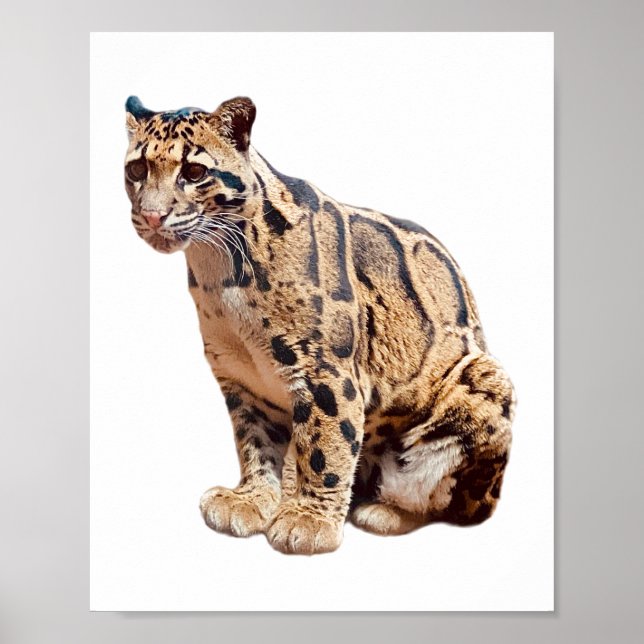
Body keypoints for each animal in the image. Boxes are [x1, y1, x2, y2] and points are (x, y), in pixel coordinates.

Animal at [123, 95, 515, 555]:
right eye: (136, 170)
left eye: (194, 172)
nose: (152, 216)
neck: (218, 271)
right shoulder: (241, 377)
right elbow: (255, 442)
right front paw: (254, 498)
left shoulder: (325, 371)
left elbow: (326, 446)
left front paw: (308, 521)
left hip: (485, 379)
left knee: (458, 504)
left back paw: (385, 511)